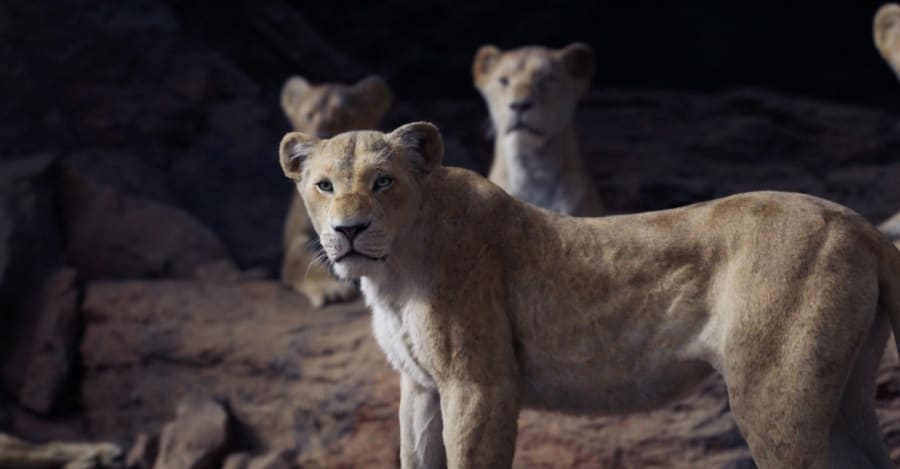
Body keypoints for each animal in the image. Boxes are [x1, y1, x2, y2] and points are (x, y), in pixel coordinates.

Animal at [279, 74, 392, 307]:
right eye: (310, 114)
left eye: (346, 116)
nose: (322, 135)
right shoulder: (296, 238)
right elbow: (305, 260)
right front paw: (331, 289)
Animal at [279, 122, 900, 468]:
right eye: (324, 185)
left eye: (383, 182)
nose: (349, 230)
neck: (395, 271)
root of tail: (862, 226)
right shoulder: (421, 386)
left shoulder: (480, 383)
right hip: (840, 392)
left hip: (774, 391)